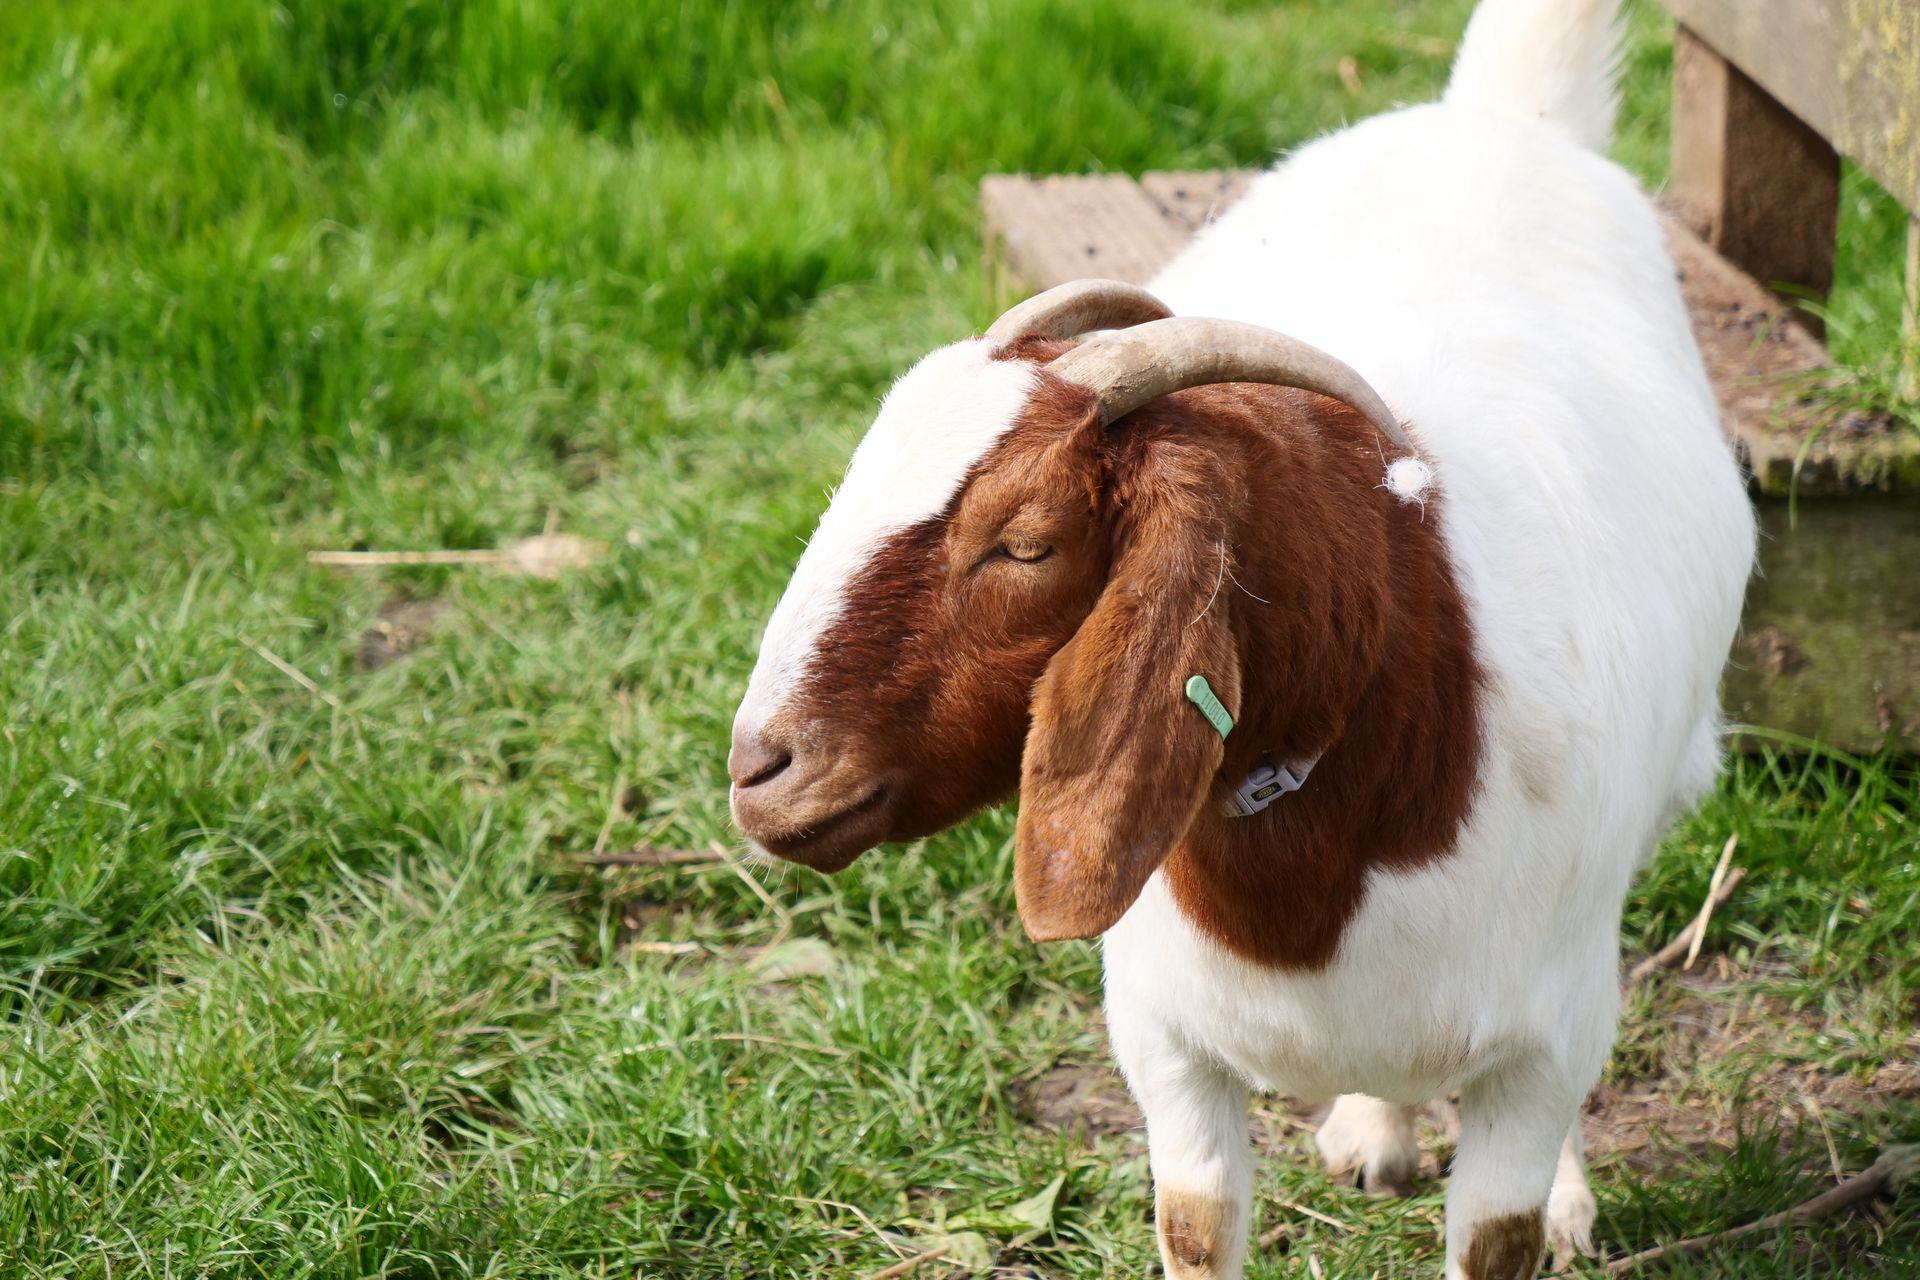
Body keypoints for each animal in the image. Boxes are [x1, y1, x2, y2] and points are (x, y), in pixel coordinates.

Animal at [727, 1, 1756, 1275]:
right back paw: (1377, 1125)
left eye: (1024, 543)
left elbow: (1502, 1222)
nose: (760, 767)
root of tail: (1495, 119)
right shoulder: (1164, 1043)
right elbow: (1198, 1220)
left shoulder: (1543, 1033)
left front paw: (1550, 1202)